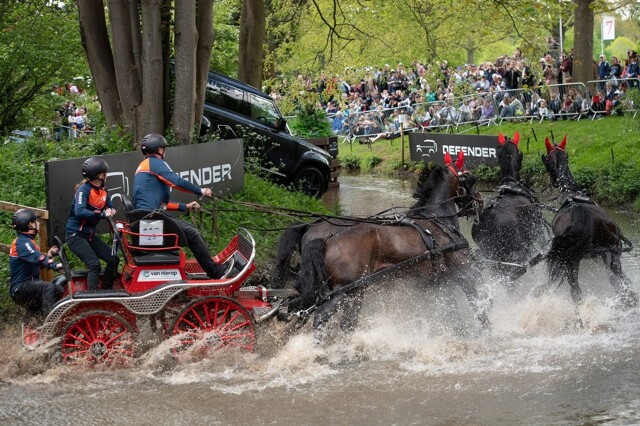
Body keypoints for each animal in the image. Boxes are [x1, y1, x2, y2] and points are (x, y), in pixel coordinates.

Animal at [282, 151, 488, 334]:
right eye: (470, 176)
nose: (480, 201)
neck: (437, 219)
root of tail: (324, 239)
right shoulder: (464, 272)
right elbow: (478, 303)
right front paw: (488, 334)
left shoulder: (441, 282)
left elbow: (452, 311)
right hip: (345, 290)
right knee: (321, 315)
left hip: (353, 291)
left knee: (344, 321)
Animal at [544, 136, 636, 306]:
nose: (553, 182)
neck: (570, 193)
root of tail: (581, 213)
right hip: (613, 252)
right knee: (621, 281)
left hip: (575, 259)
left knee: (577, 291)